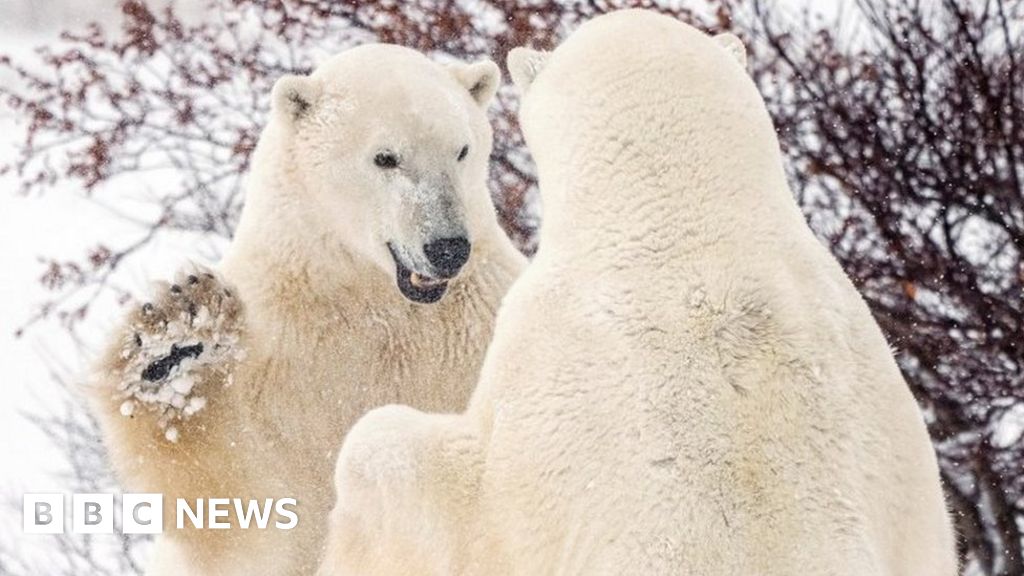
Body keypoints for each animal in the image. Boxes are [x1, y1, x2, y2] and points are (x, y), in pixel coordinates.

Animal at [91, 42, 524, 569]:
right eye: (385, 157)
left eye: (461, 150)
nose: (447, 247)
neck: (375, 299)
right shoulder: (276, 352)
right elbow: (242, 504)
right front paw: (172, 347)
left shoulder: (484, 323)